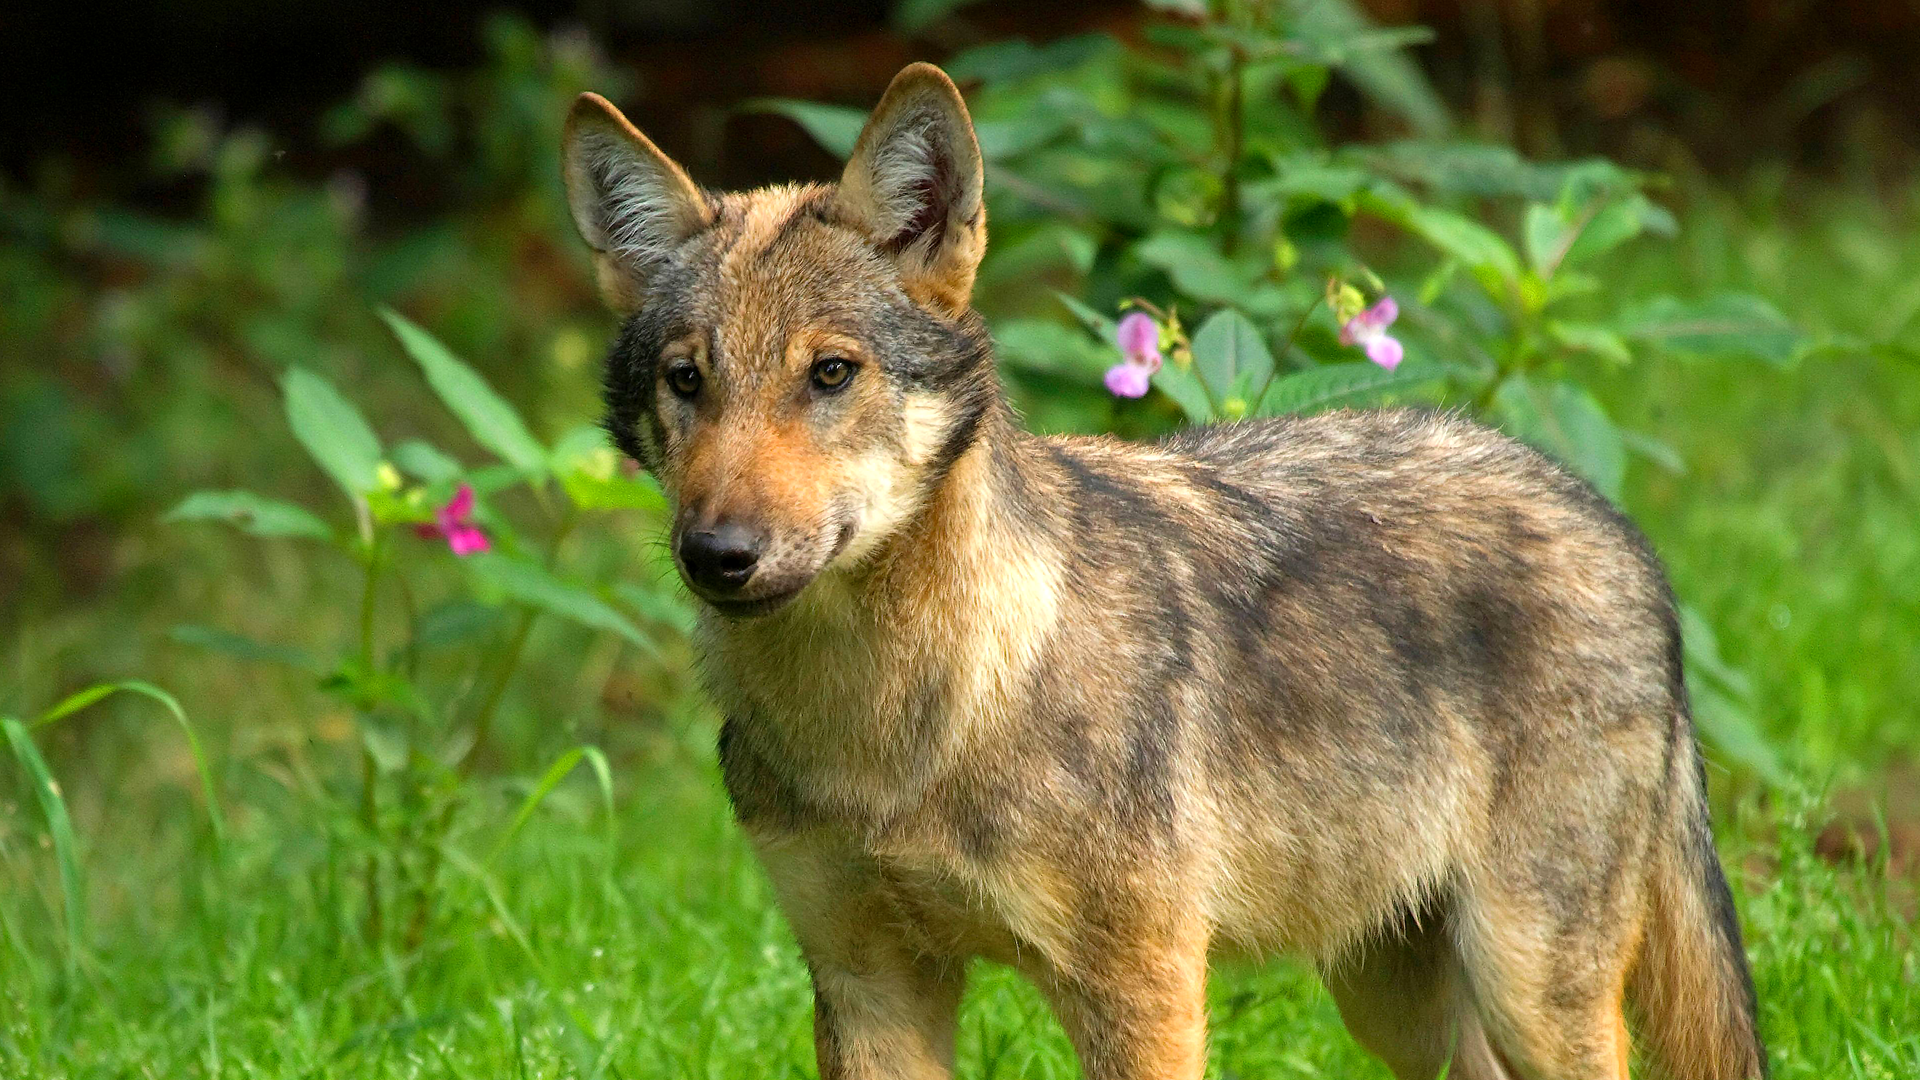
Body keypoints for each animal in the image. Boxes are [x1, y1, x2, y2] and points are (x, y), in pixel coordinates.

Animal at [560, 62, 1767, 1080]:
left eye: (829, 374)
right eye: (686, 380)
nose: (718, 554)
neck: (899, 729)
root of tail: (1615, 523)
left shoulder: (1142, 988)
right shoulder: (868, 986)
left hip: (1529, 989)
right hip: (1398, 1002)